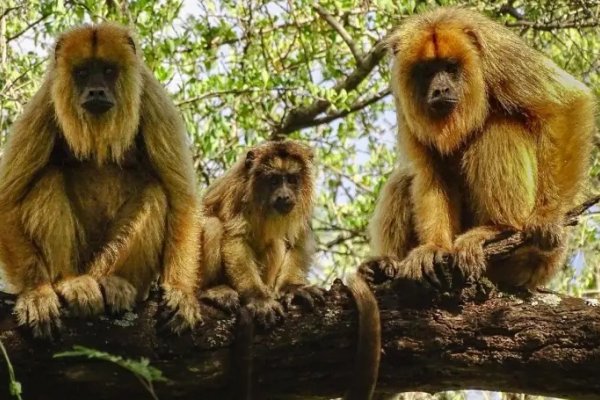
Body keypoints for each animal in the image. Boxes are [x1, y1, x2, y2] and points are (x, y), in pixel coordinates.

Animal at [0, 22, 203, 338]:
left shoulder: (154, 101)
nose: (96, 90)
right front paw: (36, 293)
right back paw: (69, 281)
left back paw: (115, 282)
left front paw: (180, 292)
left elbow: (181, 198)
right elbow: (8, 200)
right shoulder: (44, 104)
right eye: (83, 72)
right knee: (48, 180)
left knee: (156, 193)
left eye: (108, 70)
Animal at [360, 7, 596, 290]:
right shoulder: (403, 98)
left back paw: (498, 229)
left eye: (450, 68)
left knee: (498, 130)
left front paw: (548, 215)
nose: (440, 89)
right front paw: (433, 247)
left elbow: (568, 103)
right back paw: (386, 265)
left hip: (540, 262)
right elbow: (429, 168)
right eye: (427, 71)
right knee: (403, 179)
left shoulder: (502, 56)